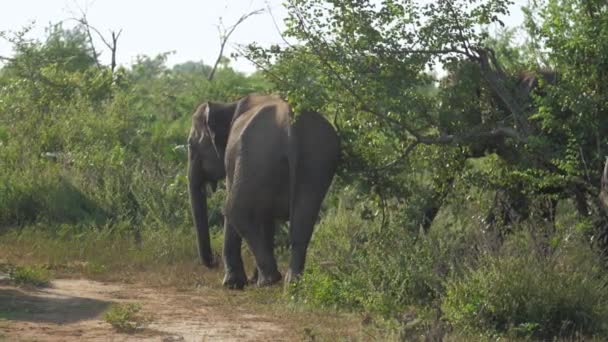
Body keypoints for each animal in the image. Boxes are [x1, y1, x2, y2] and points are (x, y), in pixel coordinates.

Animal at [188, 93, 340, 288]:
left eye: (191, 145)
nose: (213, 261)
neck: (228, 105)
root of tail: (291, 124)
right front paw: (252, 280)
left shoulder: (235, 160)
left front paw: (233, 284)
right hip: (317, 156)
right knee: (302, 221)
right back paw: (292, 283)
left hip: (257, 154)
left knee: (234, 209)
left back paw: (270, 280)